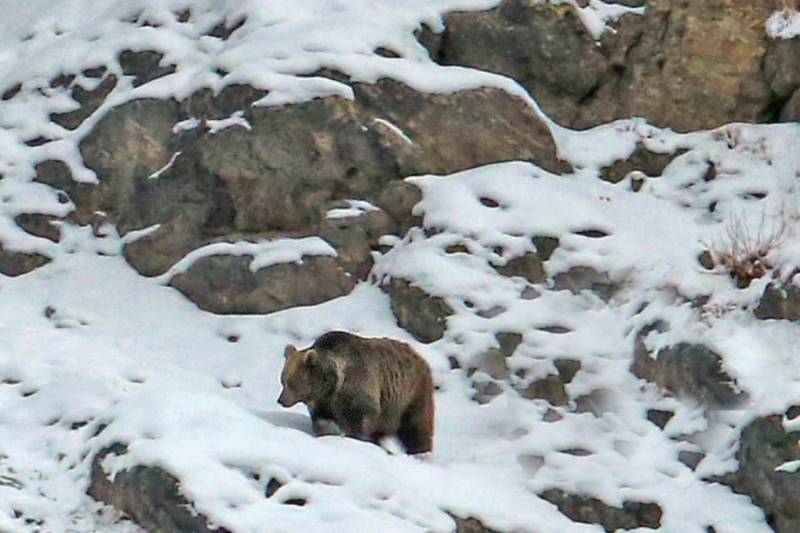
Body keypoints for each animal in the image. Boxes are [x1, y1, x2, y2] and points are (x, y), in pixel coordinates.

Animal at [276, 330, 438, 450]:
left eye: (291, 382)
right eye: (282, 379)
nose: (281, 400)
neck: (330, 387)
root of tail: (420, 357)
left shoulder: (356, 392)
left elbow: (358, 422)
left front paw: (353, 438)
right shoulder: (323, 404)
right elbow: (323, 422)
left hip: (410, 395)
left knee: (416, 427)